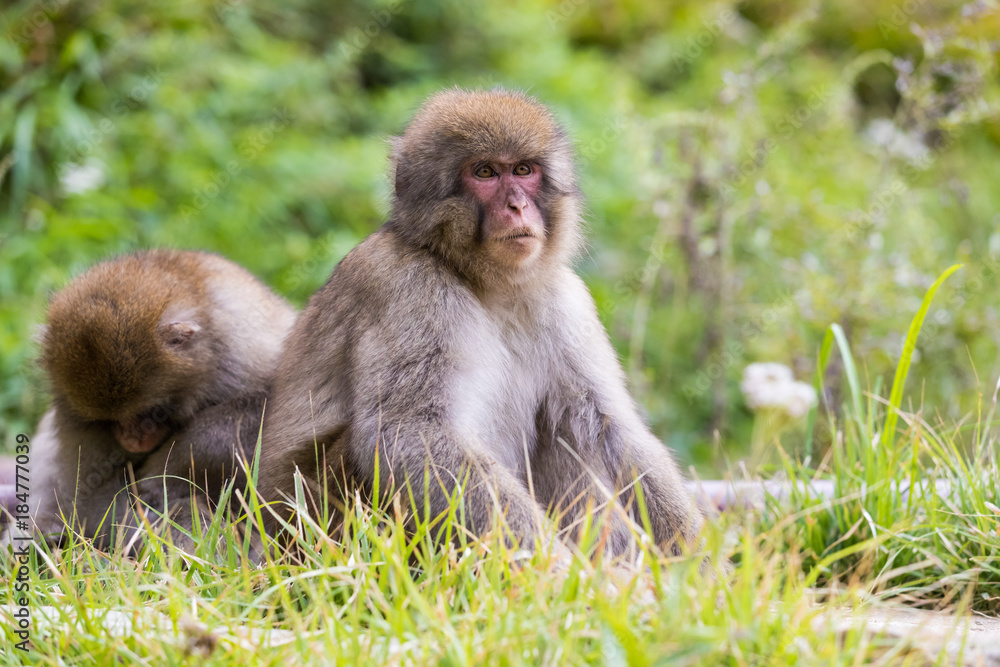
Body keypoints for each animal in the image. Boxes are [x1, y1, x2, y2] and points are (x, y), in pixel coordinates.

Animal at [15, 250, 292, 552]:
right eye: (108, 420)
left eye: (153, 411)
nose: (132, 439)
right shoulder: (71, 413)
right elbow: (94, 497)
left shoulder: (241, 350)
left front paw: (170, 467)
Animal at [260, 87, 704, 560]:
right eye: (485, 172)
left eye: (524, 170)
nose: (518, 206)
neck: (485, 282)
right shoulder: (408, 289)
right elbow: (409, 433)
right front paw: (554, 567)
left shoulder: (566, 298)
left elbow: (606, 420)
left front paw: (695, 556)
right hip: (309, 532)